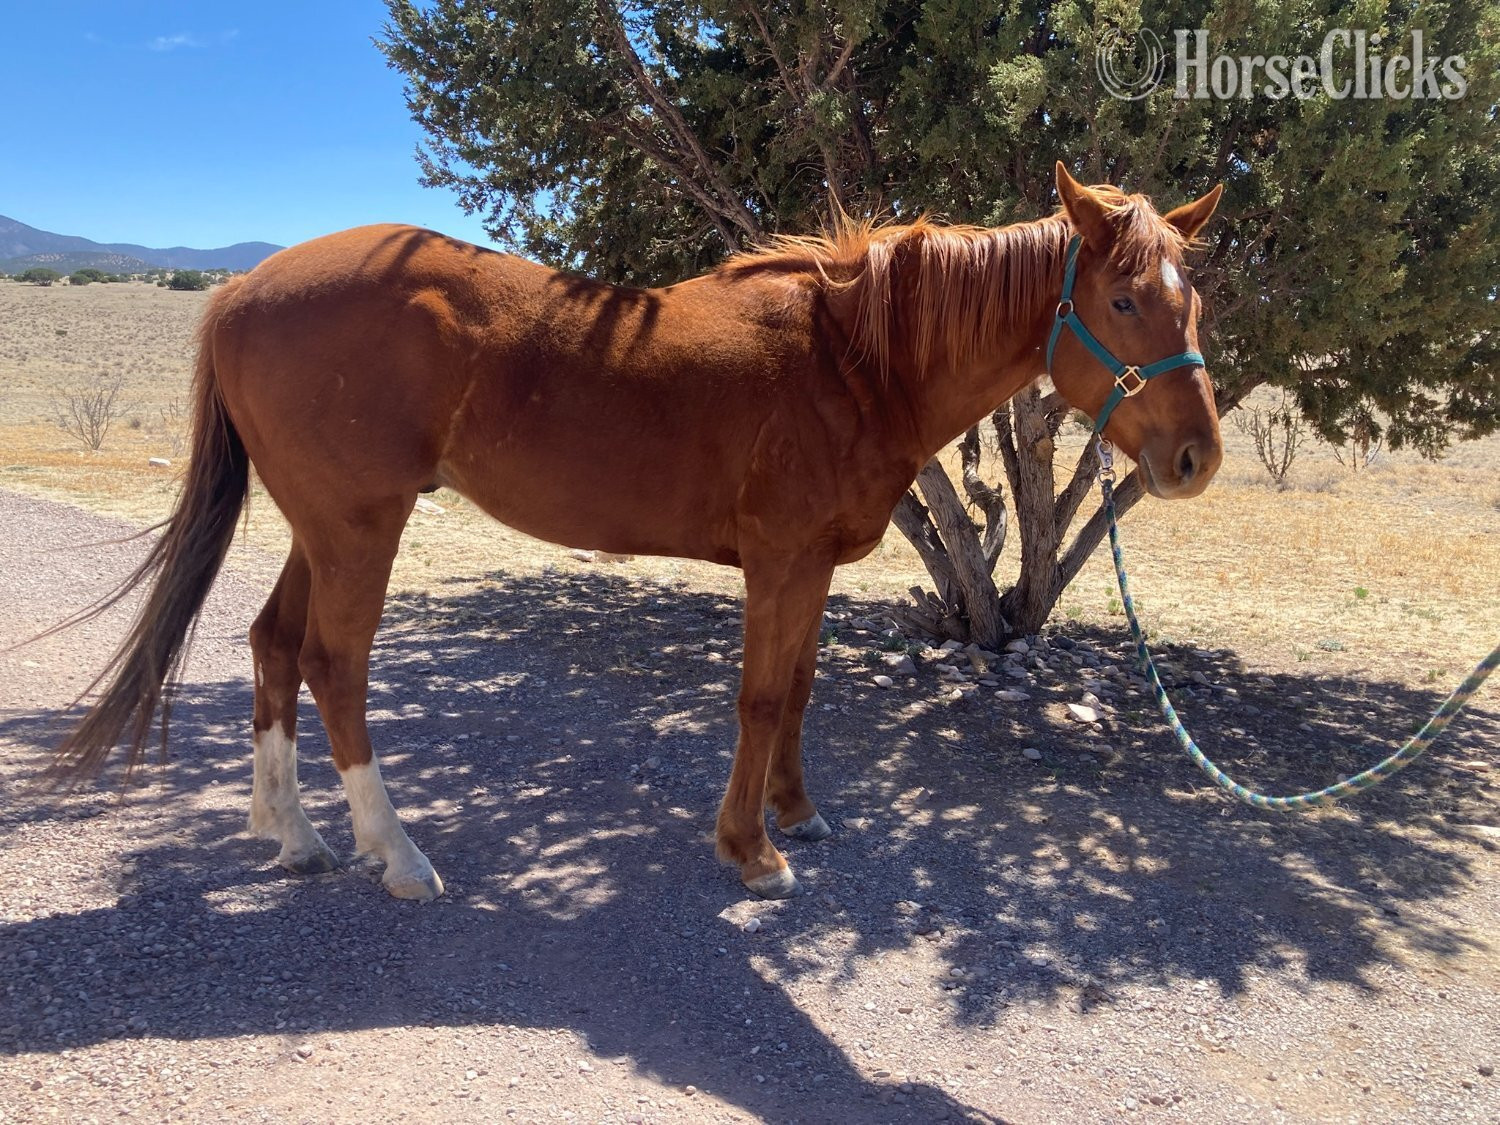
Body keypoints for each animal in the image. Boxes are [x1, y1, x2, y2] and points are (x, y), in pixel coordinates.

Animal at [53, 163, 1224, 901]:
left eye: (1194, 302)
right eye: (1124, 302)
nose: (1195, 460)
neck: (851, 357)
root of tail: (243, 289)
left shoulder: (812, 568)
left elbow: (802, 689)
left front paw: (798, 813)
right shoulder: (779, 562)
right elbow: (761, 698)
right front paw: (752, 851)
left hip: (322, 522)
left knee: (274, 644)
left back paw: (293, 834)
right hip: (359, 528)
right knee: (334, 665)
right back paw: (397, 855)